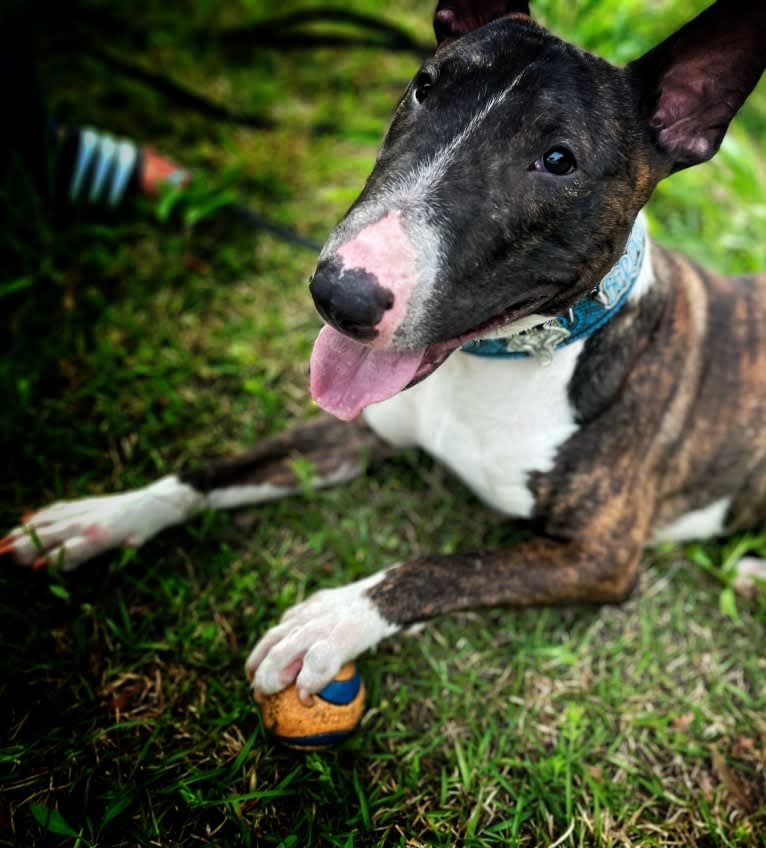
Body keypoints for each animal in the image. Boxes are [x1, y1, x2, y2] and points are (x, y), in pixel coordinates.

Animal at [1, 0, 766, 704]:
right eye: (424, 87)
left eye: (559, 160)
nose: (340, 293)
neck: (504, 360)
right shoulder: (356, 432)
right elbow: (213, 471)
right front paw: (97, 519)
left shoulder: (599, 556)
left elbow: (447, 567)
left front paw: (333, 618)